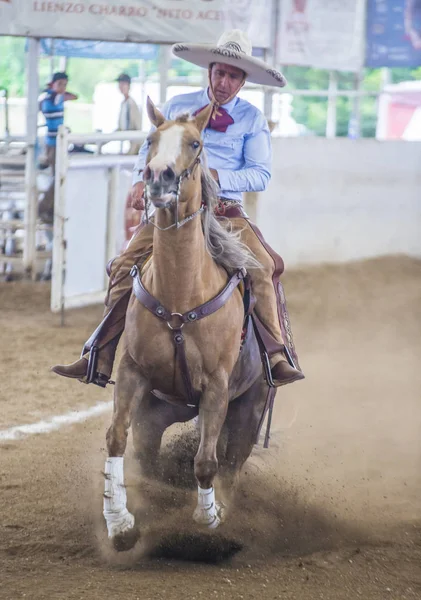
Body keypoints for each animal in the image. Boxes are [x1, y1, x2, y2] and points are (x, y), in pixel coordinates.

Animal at [103, 99, 270, 548]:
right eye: (150, 139)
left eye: (195, 143)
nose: (158, 176)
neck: (181, 294)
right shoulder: (133, 373)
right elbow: (116, 437)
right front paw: (119, 523)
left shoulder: (216, 387)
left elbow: (205, 462)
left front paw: (208, 522)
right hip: (156, 411)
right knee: (146, 454)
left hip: (249, 410)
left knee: (230, 464)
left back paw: (224, 510)